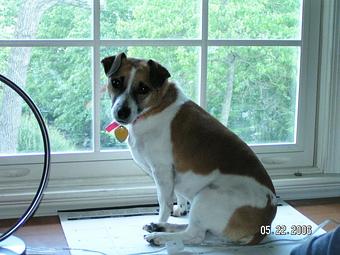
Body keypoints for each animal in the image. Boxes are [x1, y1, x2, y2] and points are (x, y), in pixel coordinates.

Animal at [100, 52, 276, 246]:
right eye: (116, 82)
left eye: (143, 88)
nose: (122, 112)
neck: (155, 107)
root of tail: (265, 224)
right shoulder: (173, 175)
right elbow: (177, 194)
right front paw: (180, 209)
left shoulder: (162, 171)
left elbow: (165, 203)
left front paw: (163, 218)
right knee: (197, 230)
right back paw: (161, 227)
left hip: (208, 196)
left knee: (195, 235)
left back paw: (160, 235)